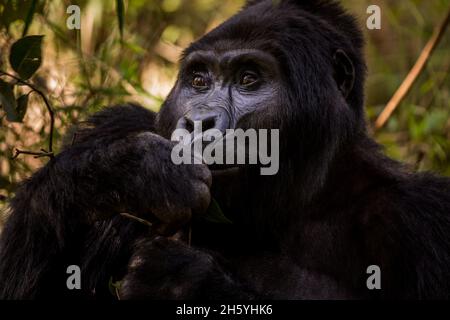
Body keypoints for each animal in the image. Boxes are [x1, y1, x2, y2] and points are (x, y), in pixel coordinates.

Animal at [0, 0, 450, 300]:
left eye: (249, 78)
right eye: (199, 80)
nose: (199, 122)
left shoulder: (421, 219)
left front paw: (184, 283)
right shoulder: (121, 124)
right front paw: (128, 173)